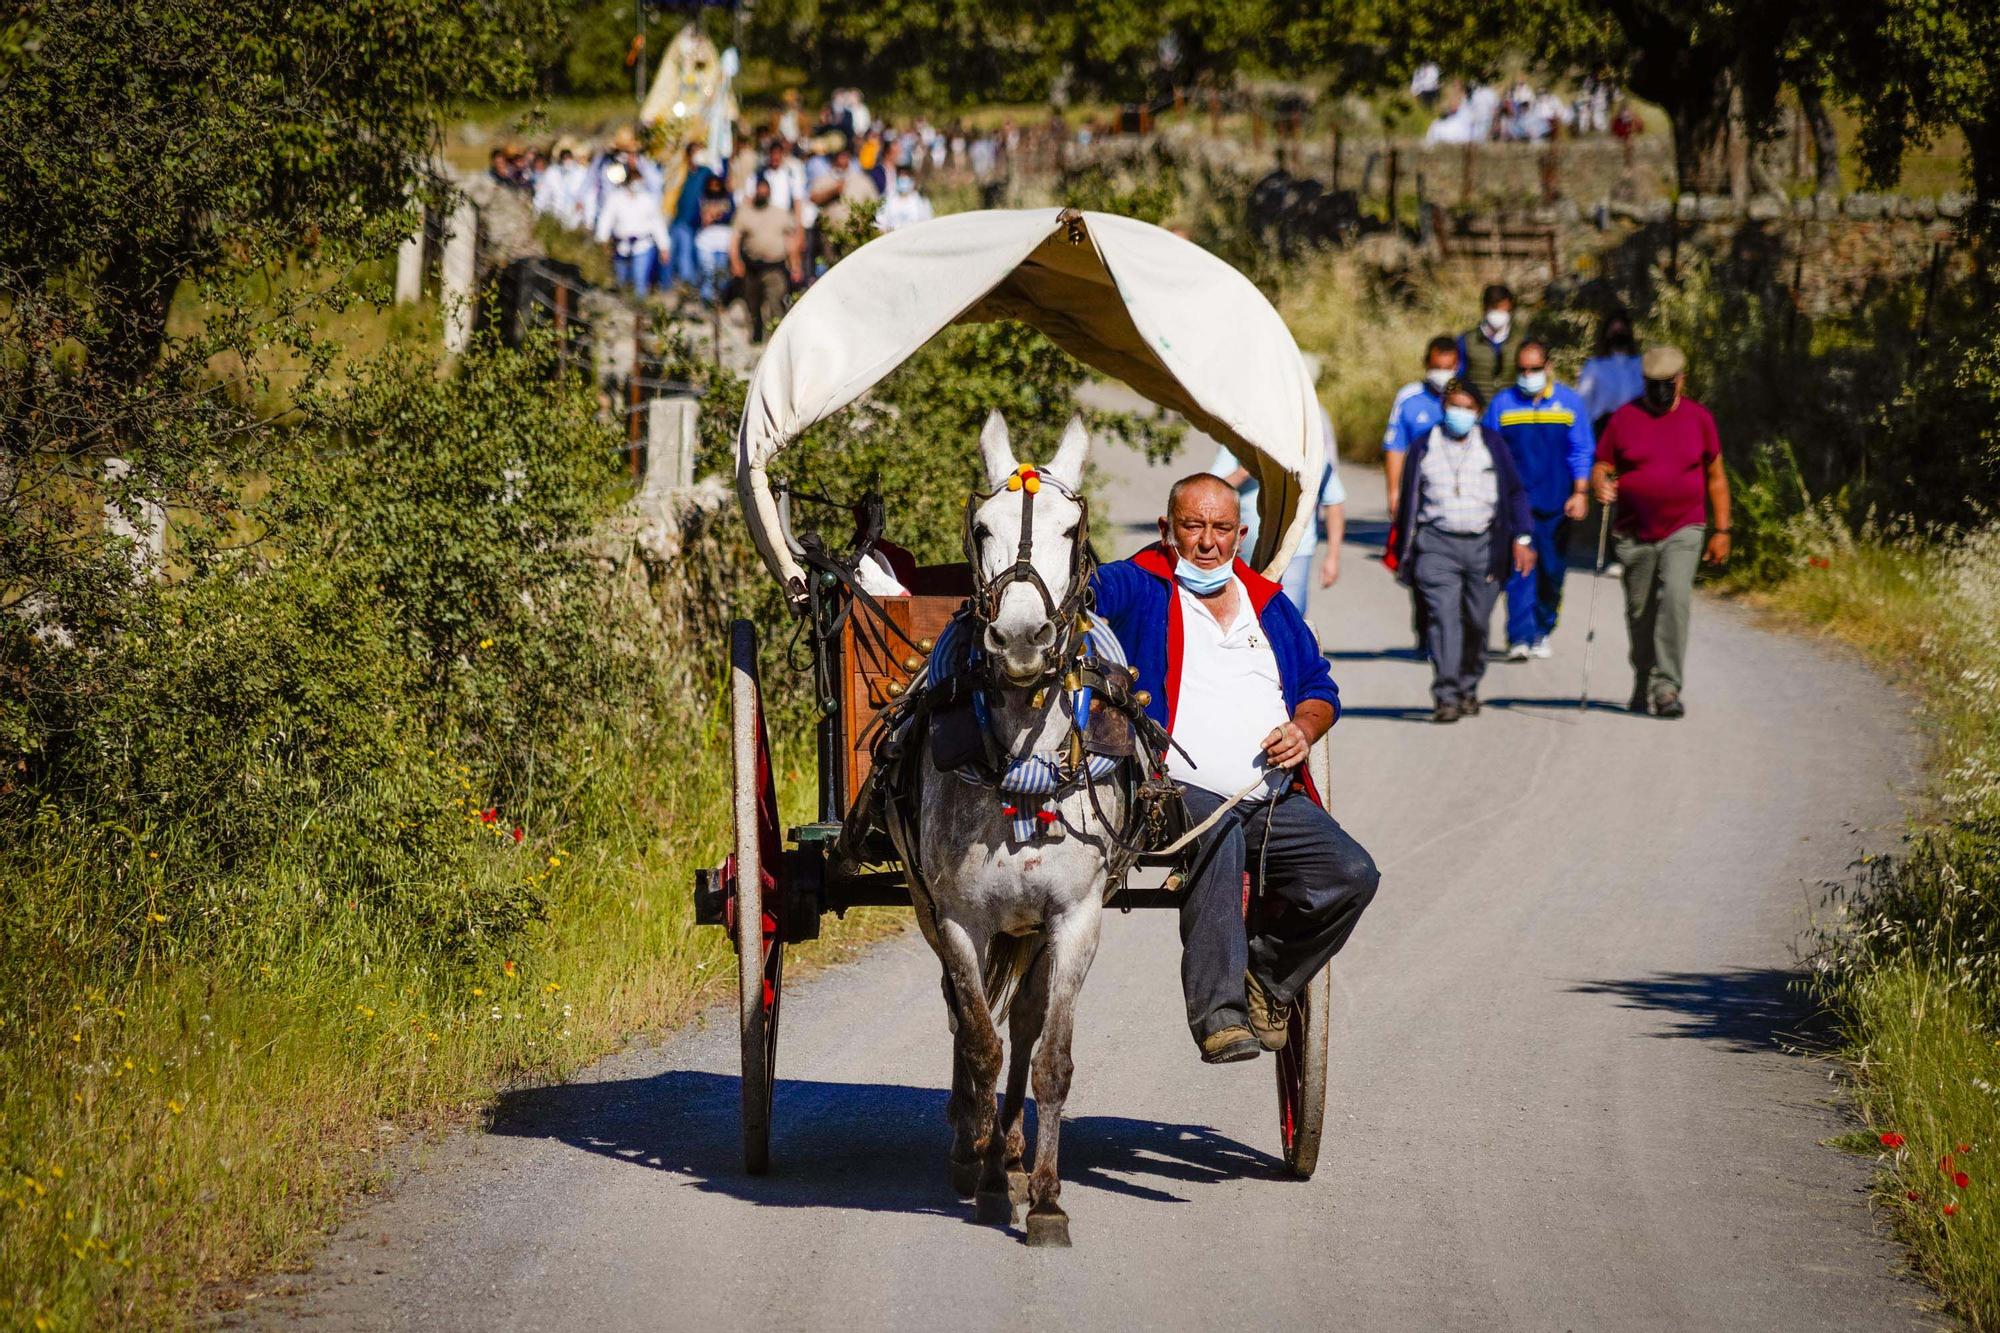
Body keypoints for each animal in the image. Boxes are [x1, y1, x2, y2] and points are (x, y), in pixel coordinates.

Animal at [888, 408, 1128, 1248]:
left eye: (1070, 530)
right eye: (983, 527)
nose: (1021, 638)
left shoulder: (1076, 917)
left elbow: (1047, 1053)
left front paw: (1046, 1196)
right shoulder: (960, 917)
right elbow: (979, 1039)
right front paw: (987, 1174)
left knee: (1021, 1022)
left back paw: (1015, 1150)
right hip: (936, 911)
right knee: (968, 1019)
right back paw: (976, 1142)